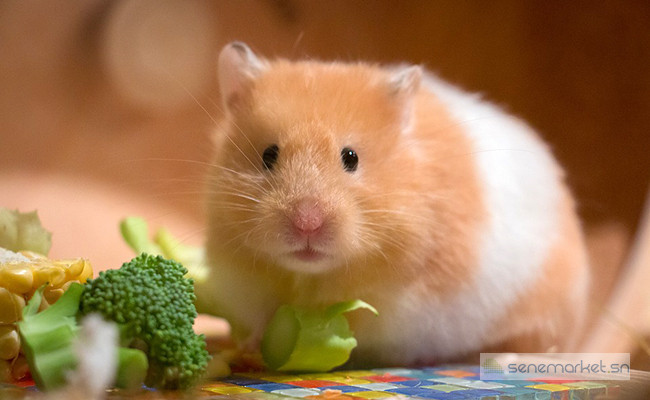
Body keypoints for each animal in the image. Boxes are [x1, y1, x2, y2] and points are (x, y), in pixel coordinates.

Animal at [200, 42, 590, 366]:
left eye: (351, 158)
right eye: (268, 155)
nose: (307, 223)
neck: (311, 276)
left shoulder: (411, 309)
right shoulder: (246, 283)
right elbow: (262, 318)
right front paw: (254, 345)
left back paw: (502, 360)